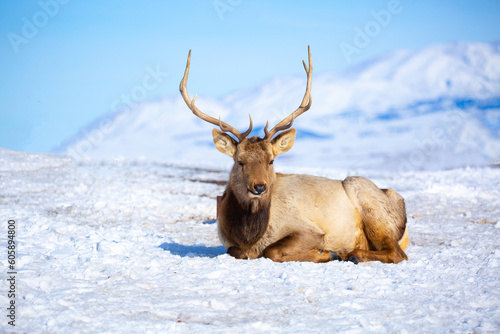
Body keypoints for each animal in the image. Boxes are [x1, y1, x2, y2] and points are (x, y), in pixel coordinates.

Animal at [182, 46, 408, 264]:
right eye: (240, 161)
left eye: (271, 161)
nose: (259, 187)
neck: (250, 235)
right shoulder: (229, 243)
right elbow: (236, 251)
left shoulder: (311, 230)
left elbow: (271, 251)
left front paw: (326, 253)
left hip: (367, 198)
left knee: (397, 253)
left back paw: (353, 254)